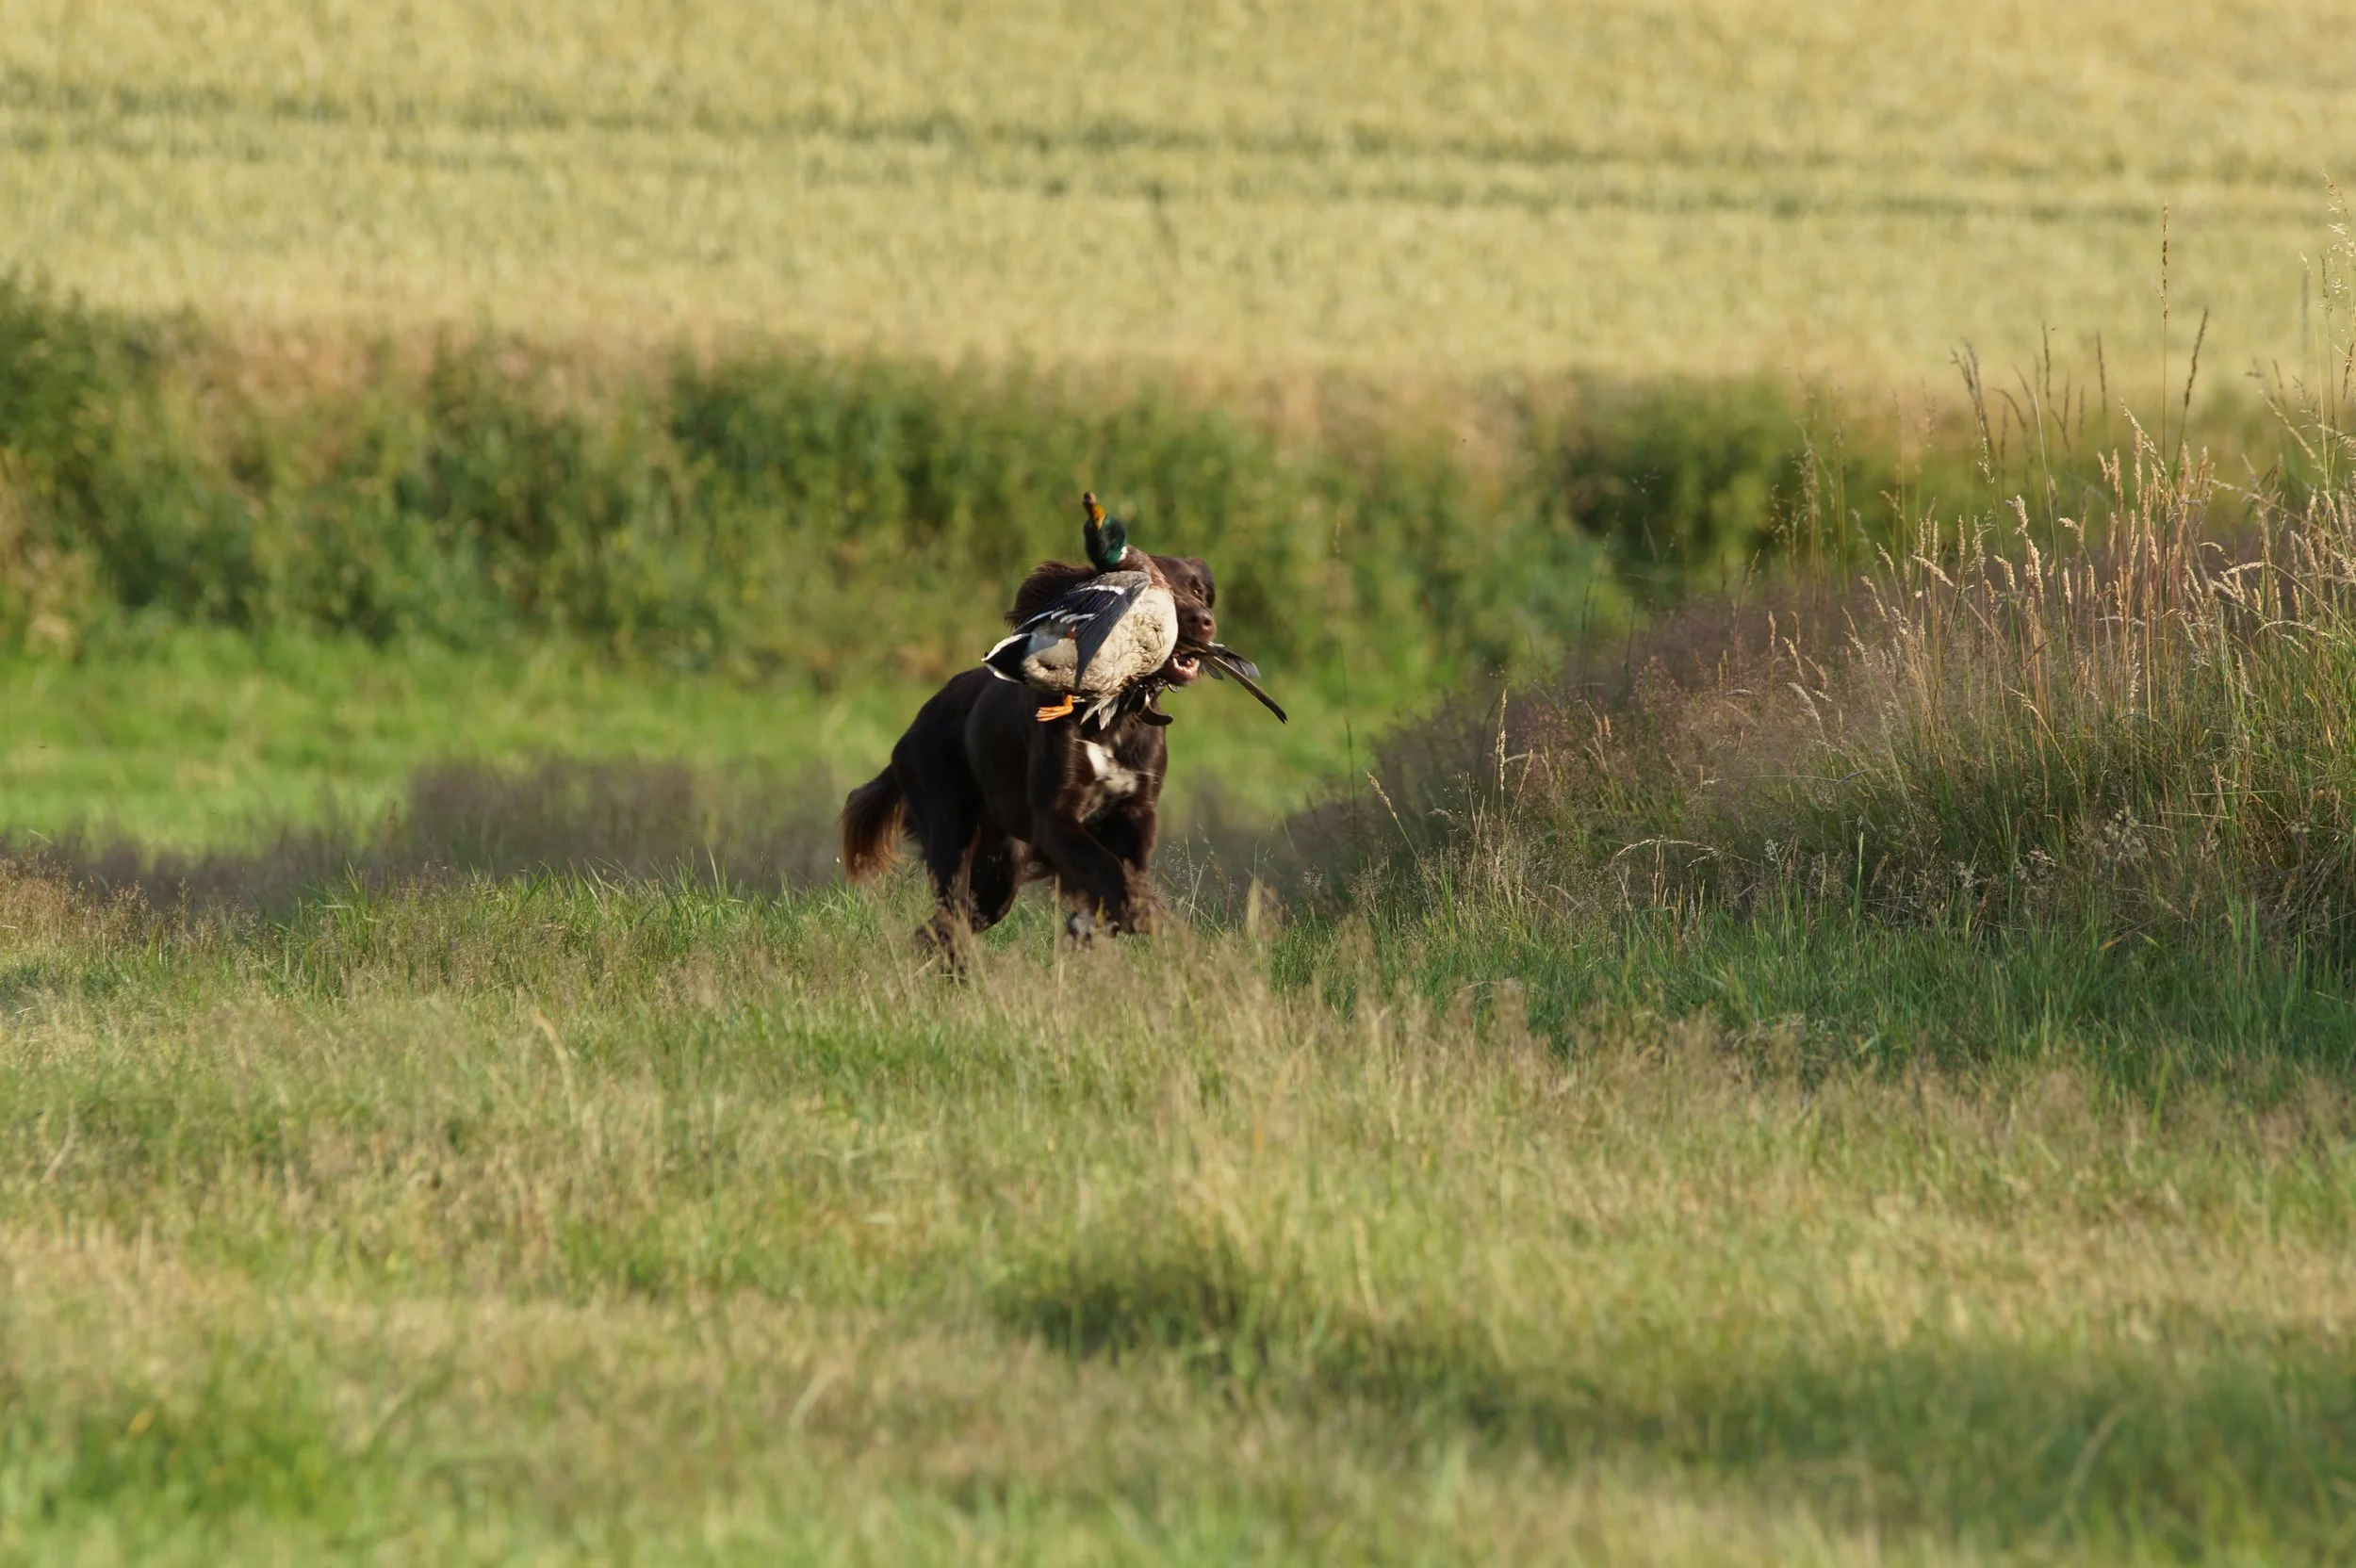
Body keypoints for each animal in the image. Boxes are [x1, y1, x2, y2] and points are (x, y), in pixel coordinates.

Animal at [839, 554, 1219, 953]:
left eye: (1198, 591)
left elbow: (1125, 871)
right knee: (949, 917)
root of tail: (912, 730)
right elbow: (1102, 865)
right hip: (948, 827)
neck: (1114, 716)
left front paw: (1103, 920)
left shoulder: (1137, 811)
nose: (1202, 621)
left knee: (943, 927)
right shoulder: (1053, 818)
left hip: (996, 872)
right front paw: (1142, 914)